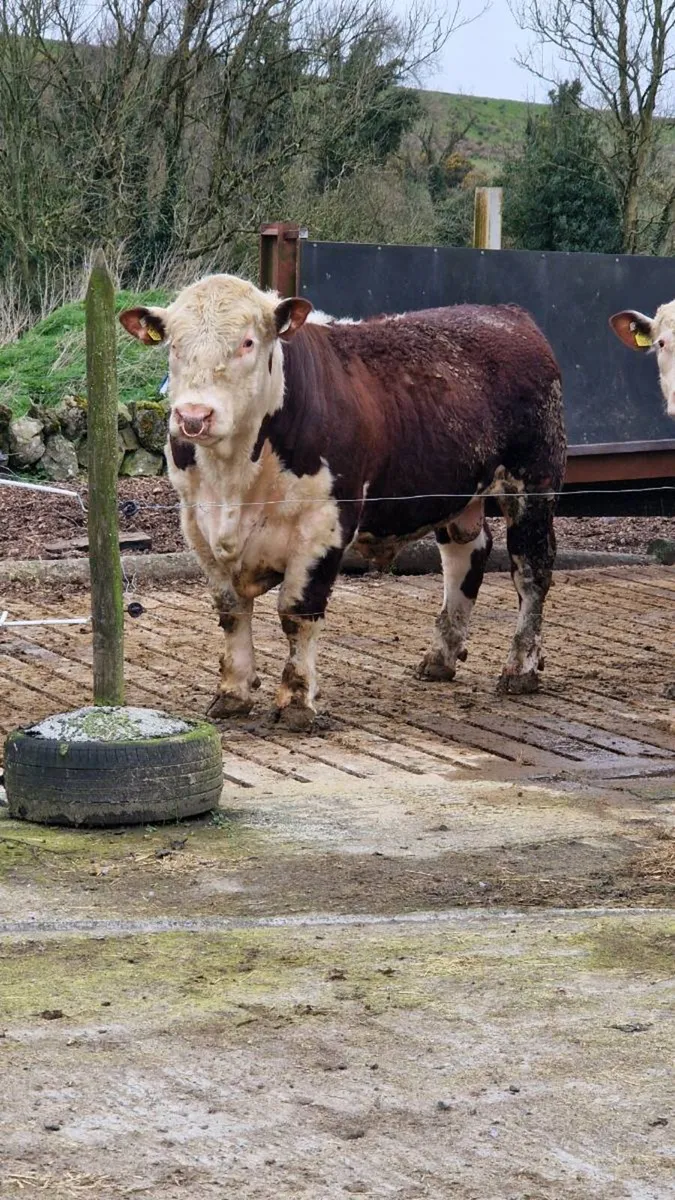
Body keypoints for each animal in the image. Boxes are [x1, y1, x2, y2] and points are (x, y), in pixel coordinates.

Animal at [120, 275, 566, 730]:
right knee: (465, 557)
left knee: (531, 570)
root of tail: (505, 313)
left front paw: (297, 701)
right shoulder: (197, 523)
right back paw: (440, 658)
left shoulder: (324, 523)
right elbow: (231, 611)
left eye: (247, 342)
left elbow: (297, 612)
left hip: (533, 482)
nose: (194, 416)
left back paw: (521, 668)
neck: (234, 478)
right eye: (174, 344)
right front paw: (232, 693)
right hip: (453, 495)